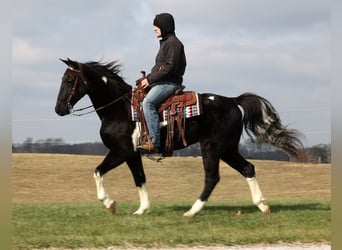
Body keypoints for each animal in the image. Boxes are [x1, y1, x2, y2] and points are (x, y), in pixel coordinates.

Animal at [54, 58, 306, 217]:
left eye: (69, 81)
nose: (59, 109)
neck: (119, 109)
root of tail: (232, 101)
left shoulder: (121, 151)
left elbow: (97, 171)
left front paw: (110, 203)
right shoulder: (132, 154)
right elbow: (140, 179)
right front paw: (142, 210)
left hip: (211, 147)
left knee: (212, 177)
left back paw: (193, 211)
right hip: (227, 149)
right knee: (248, 168)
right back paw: (262, 205)